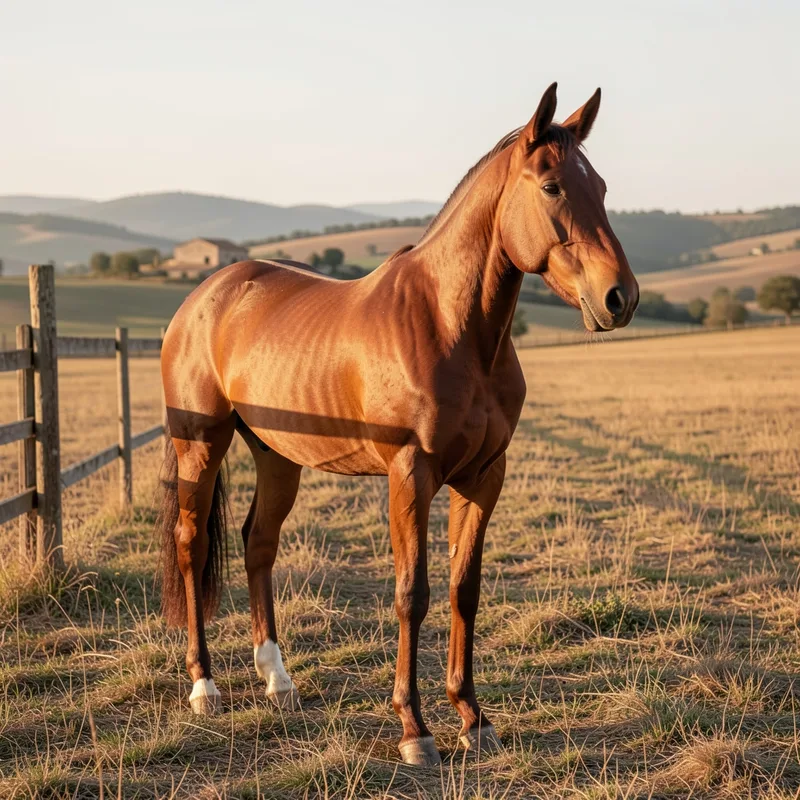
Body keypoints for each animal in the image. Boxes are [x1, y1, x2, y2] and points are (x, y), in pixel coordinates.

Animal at [157, 82, 639, 766]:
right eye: (551, 186)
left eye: (598, 185)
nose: (619, 298)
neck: (450, 325)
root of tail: (208, 294)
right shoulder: (410, 476)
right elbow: (413, 594)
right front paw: (415, 728)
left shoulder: (484, 477)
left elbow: (466, 588)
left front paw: (473, 718)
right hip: (201, 443)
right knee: (192, 544)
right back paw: (205, 686)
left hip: (276, 455)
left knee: (258, 543)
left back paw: (278, 679)